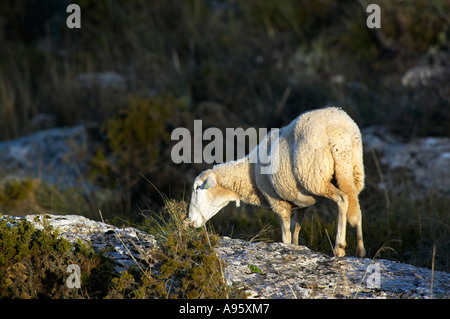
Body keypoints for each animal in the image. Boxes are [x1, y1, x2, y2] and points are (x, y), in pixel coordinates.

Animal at [186, 106, 366, 258]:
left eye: (197, 188)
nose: (190, 221)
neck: (250, 174)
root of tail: (339, 132)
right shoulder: (303, 204)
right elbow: (295, 231)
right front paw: (298, 248)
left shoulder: (278, 203)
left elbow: (286, 236)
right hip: (354, 171)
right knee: (356, 206)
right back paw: (360, 250)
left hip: (316, 177)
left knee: (342, 199)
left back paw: (339, 247)